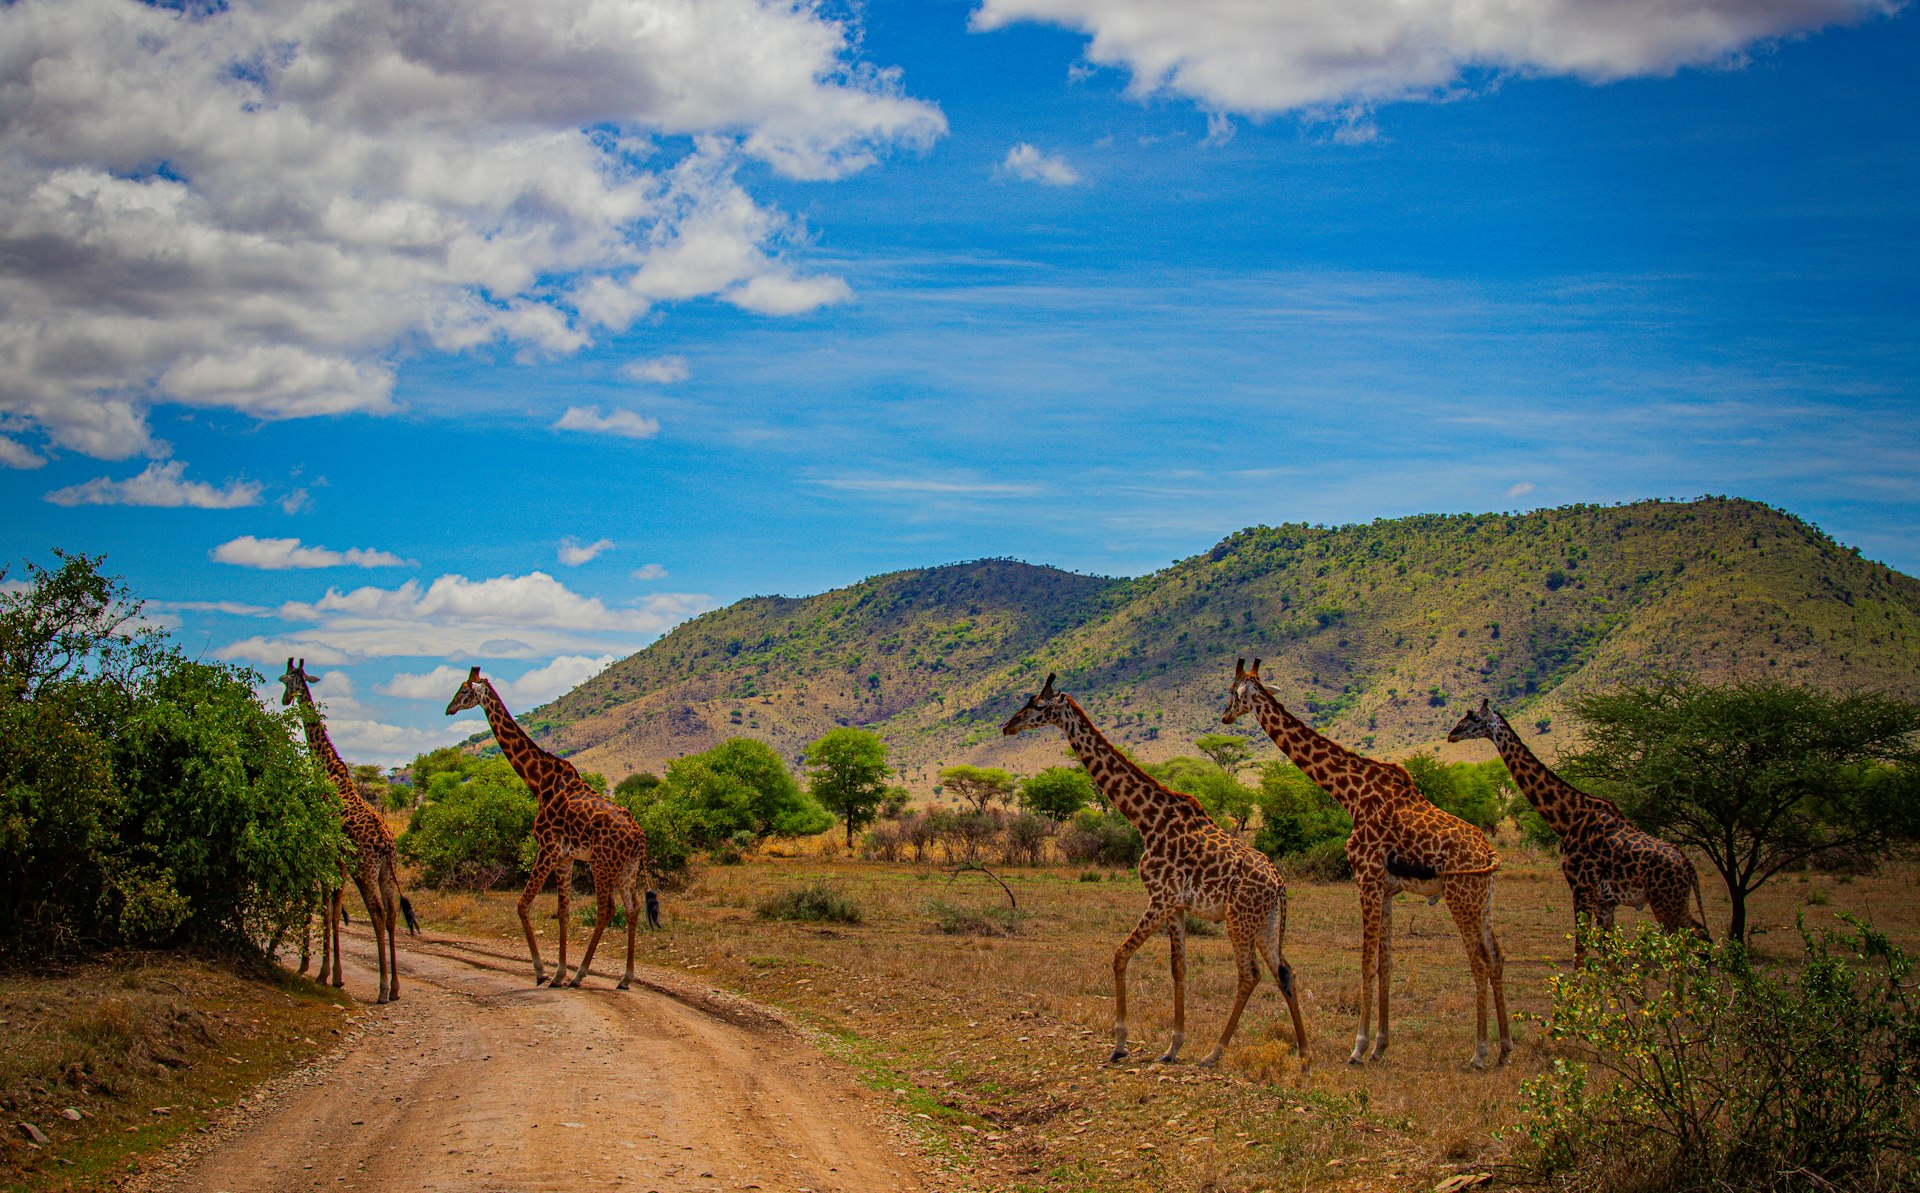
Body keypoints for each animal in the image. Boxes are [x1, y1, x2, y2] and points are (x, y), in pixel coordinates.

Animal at [279, 659, 402, 1003]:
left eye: (287, 679)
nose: (285, 699)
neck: (329, 772)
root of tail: (385, 842)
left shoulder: (327, 856)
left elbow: (325, 908)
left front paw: (324, 973)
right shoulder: (339, 862)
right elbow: (333, 910)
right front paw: (333, 975)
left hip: (365, 869)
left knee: (377, 915)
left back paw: (382, 988)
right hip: (385, 871)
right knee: (391, 915)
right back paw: (395, 987)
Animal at [445, 667, 654, 989]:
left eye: (465, 690)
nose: (449, 709)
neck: (538, 781)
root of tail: (638, 834)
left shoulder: (547, 848)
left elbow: (522, 904)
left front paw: (543, 971)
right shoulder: (565, 856)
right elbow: (563, 911)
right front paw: (557, 972)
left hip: (602, 864)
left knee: (607, 910)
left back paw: (581, 975)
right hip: (627, 867)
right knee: (632, 910)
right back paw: (625, 978)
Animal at [1003, 673, 1309, 1067]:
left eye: (1038, 705)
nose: (1009, 725)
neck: (1145, 819)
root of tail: (1280, 884)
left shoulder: (1160, 897)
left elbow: (1120, 955)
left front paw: (1119, 1044)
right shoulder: (1176, 906)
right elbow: (1178, 968)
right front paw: (1172, 1047)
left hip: (1239, 918)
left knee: (1249, 974)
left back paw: (1214, 1053)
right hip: (1266, 922)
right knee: (1285, 971)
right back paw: (1305, 1057)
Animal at [1221, 659, 1511, 1069]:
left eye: (1234, 692)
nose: (1225, 715)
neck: (1351, 794)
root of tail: (1488, 852)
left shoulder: (1367, 877)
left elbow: (1365, 962)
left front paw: (1357, 1048)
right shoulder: (1387, 889)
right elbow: (1385, 964)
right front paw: (1380, 1046)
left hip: (1461, 895)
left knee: (1481, 962)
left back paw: (1480, 1052)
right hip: (1483, 899)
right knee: (1497, 957)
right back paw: (1505, 1048)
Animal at [1447, 699, 1708, 959]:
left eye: (1475, 719)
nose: (1452, 734)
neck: (1568, 818)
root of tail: (1689, 866)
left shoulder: (1582, 888)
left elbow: (1582, 949)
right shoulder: (1604, 901)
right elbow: (1608, 952)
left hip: (1666, 902)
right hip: (1674, 902)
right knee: (1702, 937)